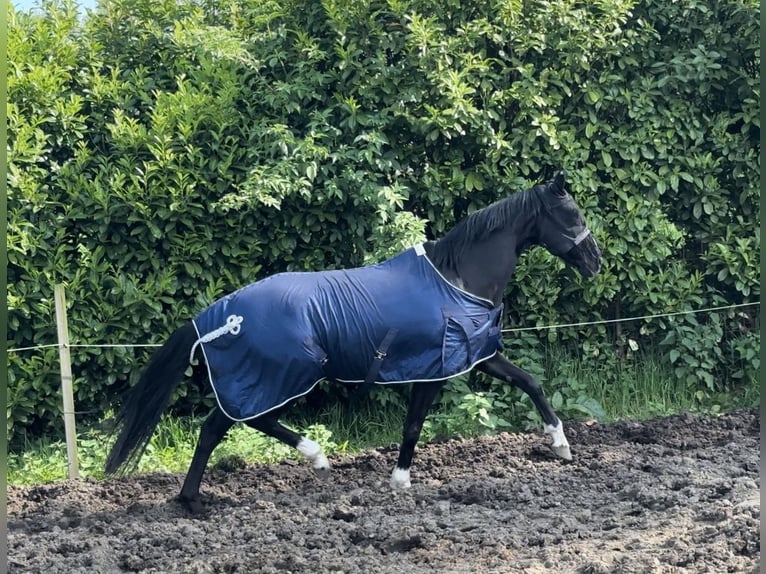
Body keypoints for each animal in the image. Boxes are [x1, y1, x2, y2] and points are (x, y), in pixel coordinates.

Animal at [105, 170, 604, 512]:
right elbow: (413, 425)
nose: (596, 262)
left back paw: (200, 496)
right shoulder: (434, 371)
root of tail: (215, 316)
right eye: (571, 214)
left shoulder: (478, 357)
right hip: (283, 378)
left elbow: (531, 383)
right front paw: (400, 482)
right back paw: (308, 460)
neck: (457, 278)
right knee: (227, 425)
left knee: (223, 427)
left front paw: (560, 444)